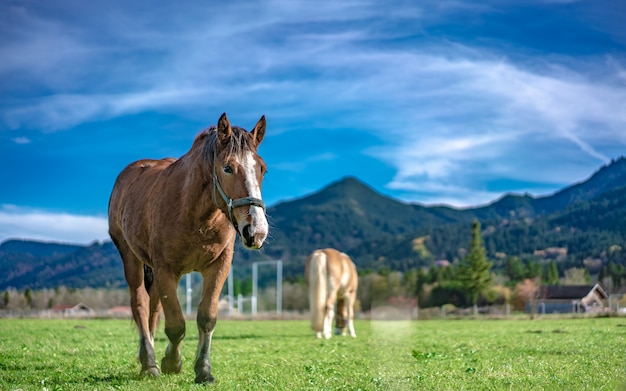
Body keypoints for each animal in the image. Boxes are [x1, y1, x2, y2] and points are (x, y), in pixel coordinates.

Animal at [108, 112, 268, 382]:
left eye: (262, 169)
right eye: (227, 167)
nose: (256, 230)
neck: (196, 214)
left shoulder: (218, 266)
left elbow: (206, 317)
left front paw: (203, 369)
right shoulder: (165, 269)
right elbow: (175, 324)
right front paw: (171, 362)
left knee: (153, 309)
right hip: (131, 258)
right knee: (140, 305)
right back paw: (149, 362)